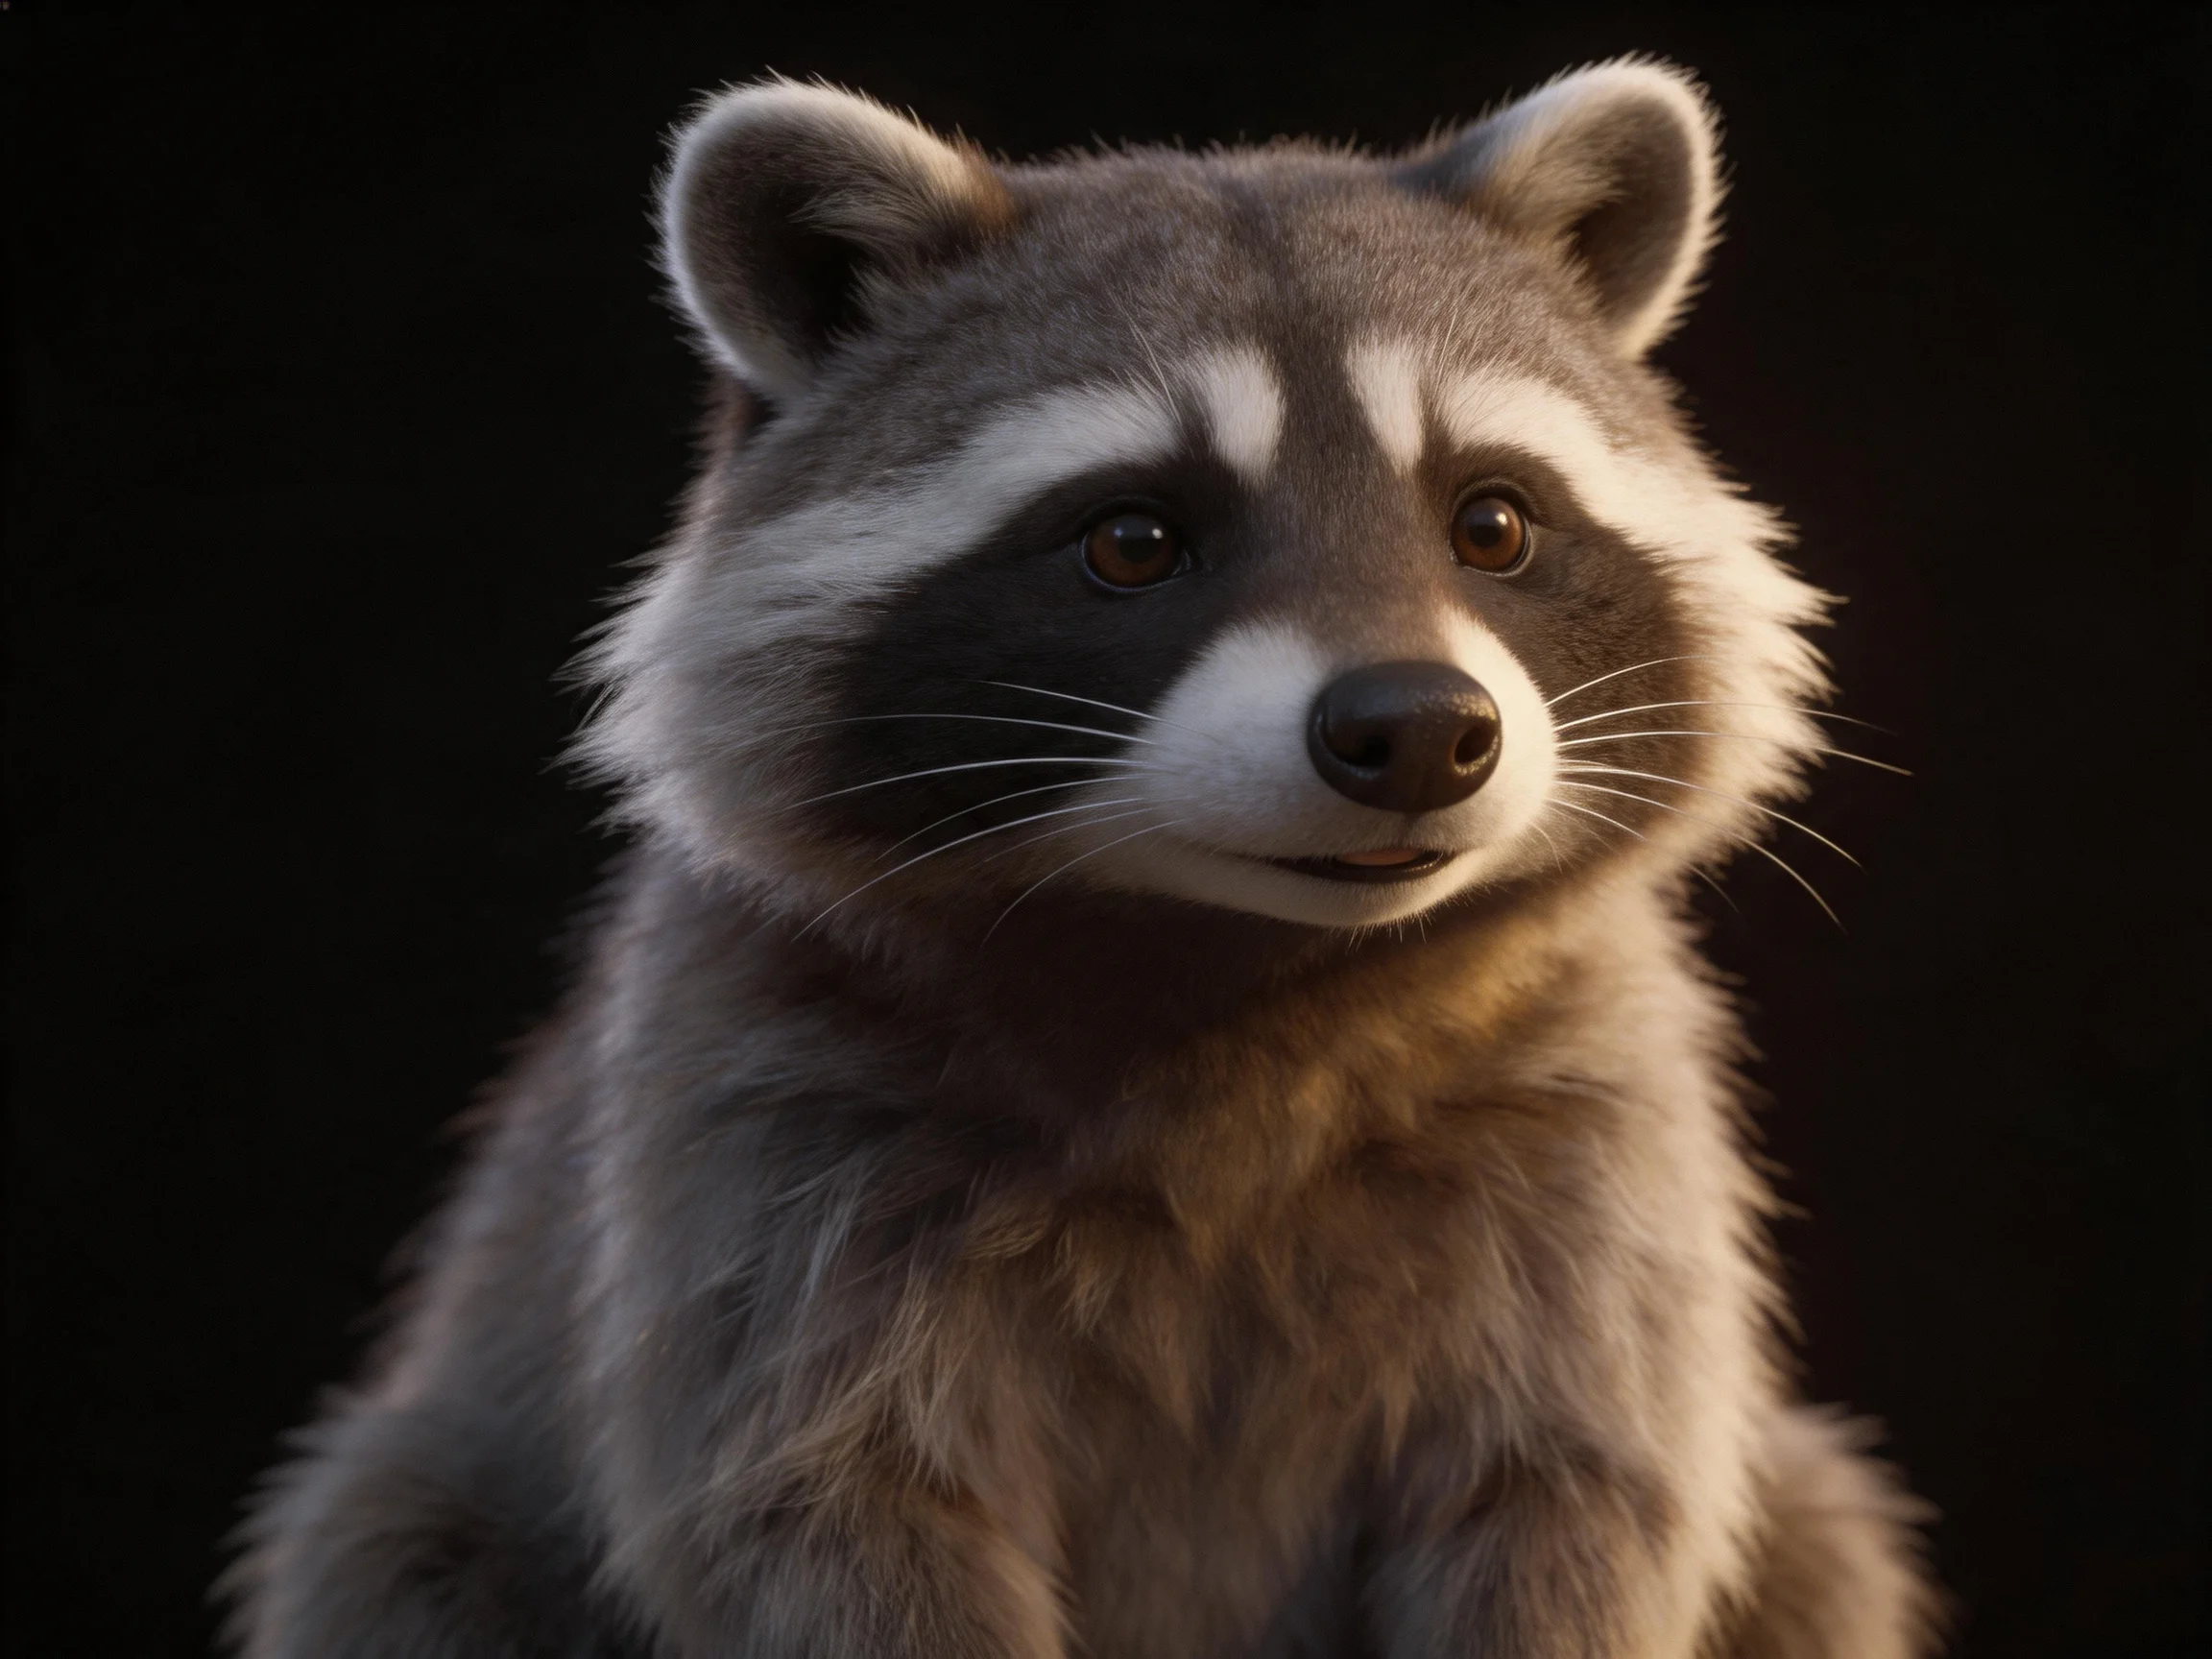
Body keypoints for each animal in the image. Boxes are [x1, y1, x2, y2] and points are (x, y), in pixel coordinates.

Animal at [227, 60, 1938, 1659]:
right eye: (1133, 540)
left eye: (1494, 525)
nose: (1416, 731)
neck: (1236, 956)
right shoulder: (754, 1123)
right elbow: (825, 1517)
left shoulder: (1596, 1135)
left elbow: (1571, 1501)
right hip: (433, 1510)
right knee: (390, 1547)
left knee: (1818, 1545)